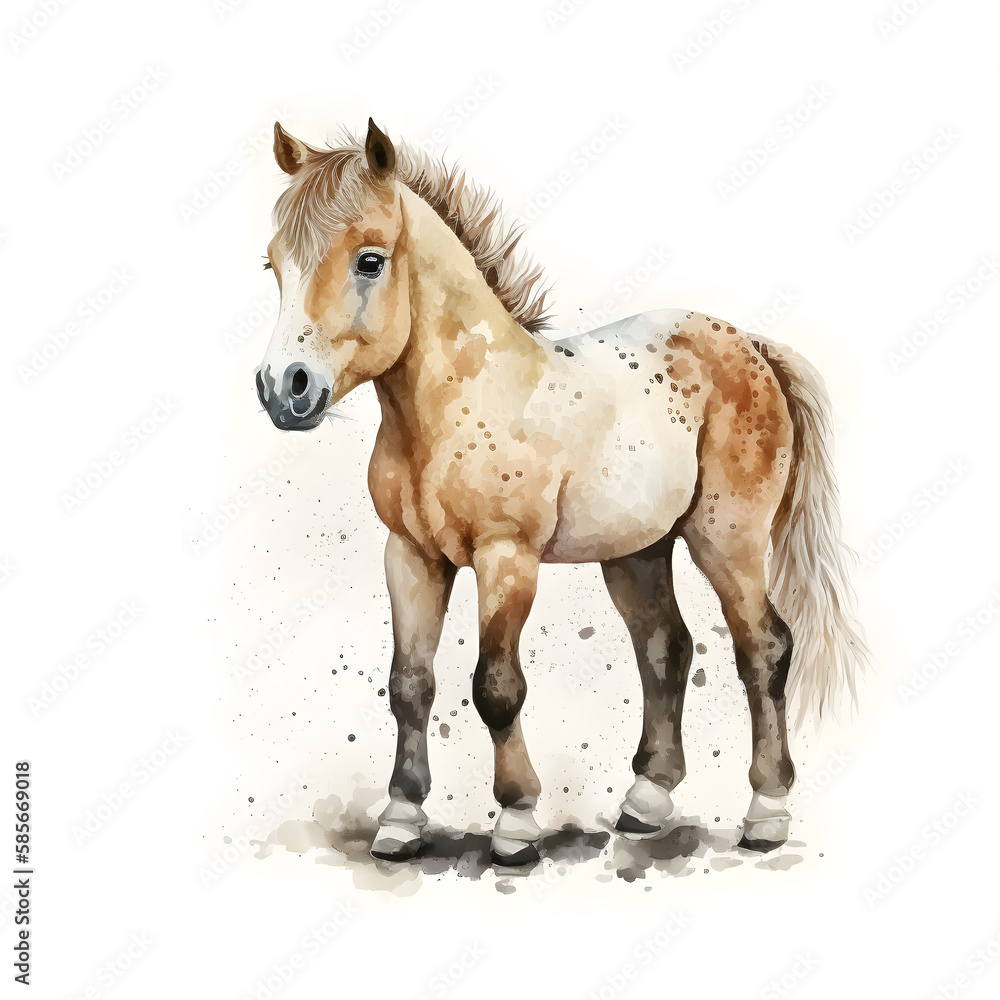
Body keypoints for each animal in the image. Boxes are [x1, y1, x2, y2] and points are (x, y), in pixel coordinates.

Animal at [254, 118, 867, 866]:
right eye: (273, 264)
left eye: (369, 261)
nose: (285, 388)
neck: (461, 400)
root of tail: (750, 347)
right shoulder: (410, 556)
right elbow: (410, 684)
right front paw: (400, 821)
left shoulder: (506, 558)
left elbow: (495, 687)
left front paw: (516, 824)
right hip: (638, 551)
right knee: (666, 649)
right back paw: (646, 803)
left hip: (729, 541)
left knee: (764, 648)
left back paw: (766, 814)